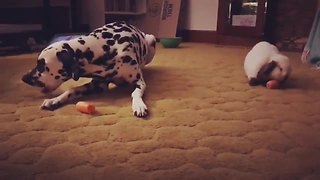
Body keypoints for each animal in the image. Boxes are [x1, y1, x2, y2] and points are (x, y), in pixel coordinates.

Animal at [21, 21, 156, 117]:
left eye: (41, 65)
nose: (24, 78)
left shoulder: (139, 82)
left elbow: (135, 93)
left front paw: (138, 105)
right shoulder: (97, 85)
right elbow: (72, 90)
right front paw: (55, 100)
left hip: (151, 39)